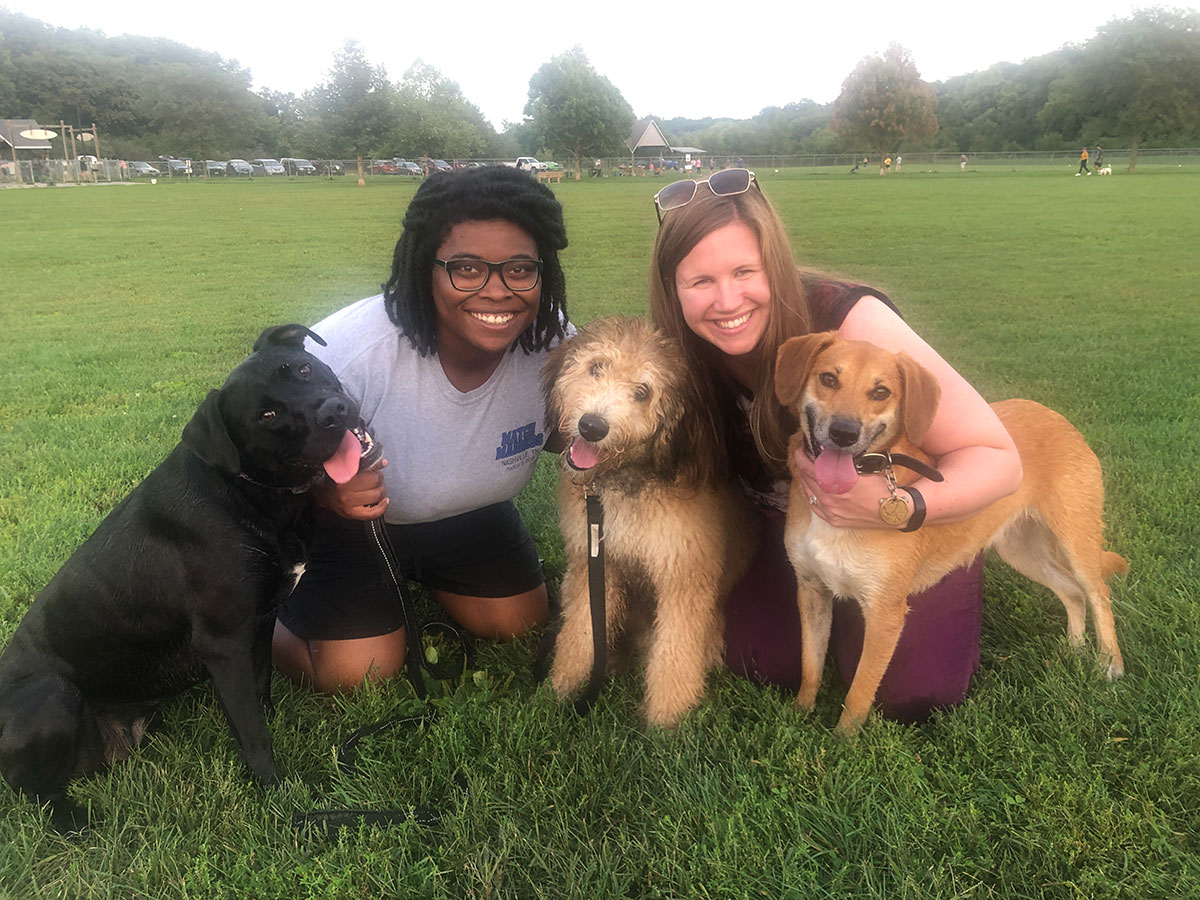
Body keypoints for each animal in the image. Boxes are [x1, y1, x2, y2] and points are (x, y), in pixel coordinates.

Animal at [0, 324, 364, 830]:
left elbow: (262, 686)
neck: (248, 491)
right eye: (267, 415)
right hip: (52, 694)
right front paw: (279, 795)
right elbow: (252, 731)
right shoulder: (223, 643)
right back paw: (74, 821)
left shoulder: (260, 624)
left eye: (304, 368)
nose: (334, 412)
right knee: (32, 794)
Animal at [547, 316, 753, 724]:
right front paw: (562, 687)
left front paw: (667, 718)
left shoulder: (684, 574)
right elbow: (581, 629)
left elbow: (676, 648)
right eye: (596, 367)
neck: (625, 483)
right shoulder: (594, 563)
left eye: (642, 392)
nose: (592, 426)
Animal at [772, 336, 1128, 734]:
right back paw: (1074, 649)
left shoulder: (885, 614)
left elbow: (859, 692)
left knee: (1097, 592)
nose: (844, 433)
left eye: (881, 392)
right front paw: (799, 716)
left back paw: (1109, 663)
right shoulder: (811, 590)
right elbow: (811, 666)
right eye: (829, 378)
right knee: (1071, 592)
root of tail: (1052, 414)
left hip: (1075, 538)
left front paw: (841, 742)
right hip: (1021, 550)